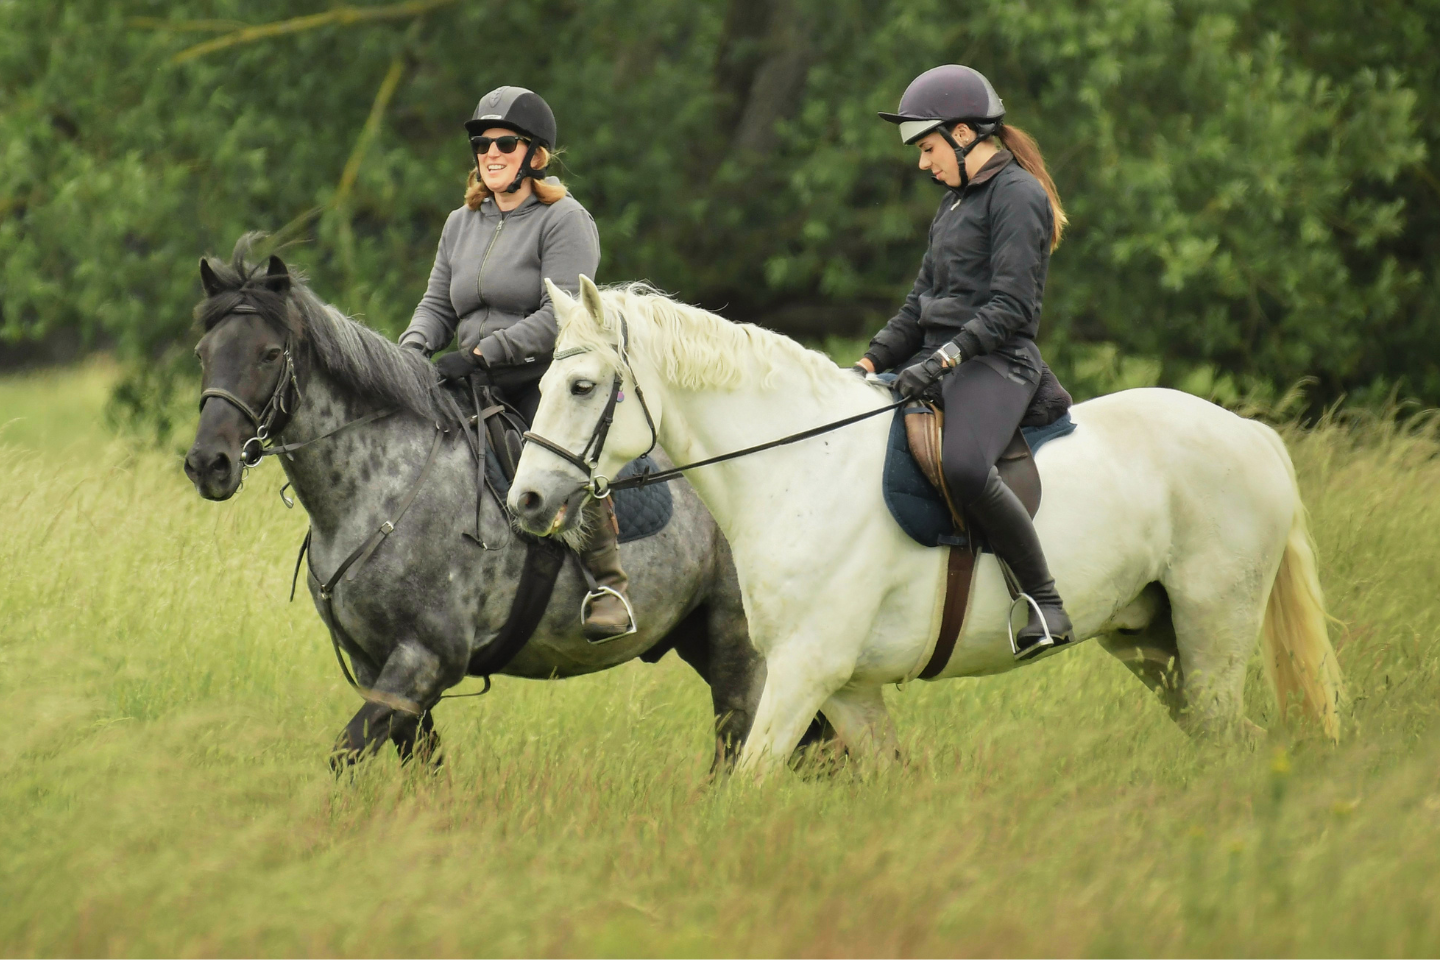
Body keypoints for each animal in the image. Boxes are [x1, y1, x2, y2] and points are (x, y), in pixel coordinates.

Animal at [181, 243, 778, 768]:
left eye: (268, 354)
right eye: (203, 353)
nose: (208, 464)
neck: (381, 492)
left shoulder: (423, 660)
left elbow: (346, 754)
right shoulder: (378, 666)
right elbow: (422, 767)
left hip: (739, 649)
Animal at [508, 276, 1345, 777]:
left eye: (582, 387)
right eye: (543, 381)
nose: (526, 502)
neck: (798, 466)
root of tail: (1252, 434)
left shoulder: (803, 671)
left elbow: (750, 781)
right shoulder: (845, 688)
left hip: (1212, 635)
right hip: (1153, 643)